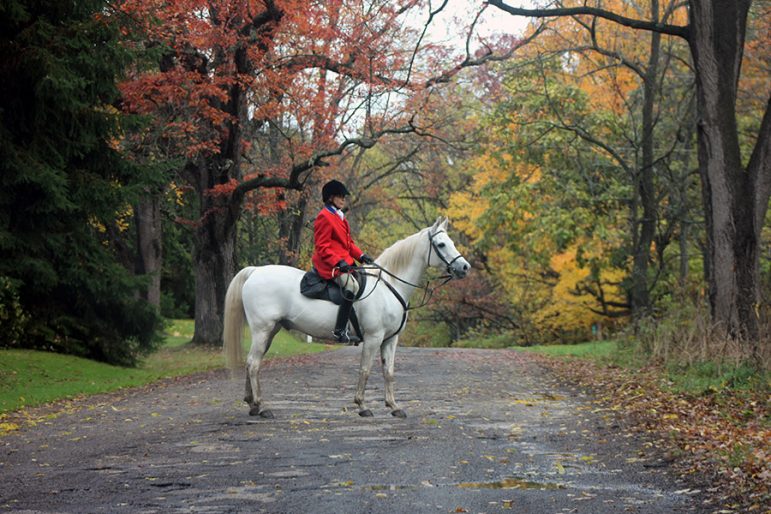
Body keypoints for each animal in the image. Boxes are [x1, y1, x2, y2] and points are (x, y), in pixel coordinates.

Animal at [223, 215, 470, 416]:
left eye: (452, 242)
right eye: (441, 244)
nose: (465, 267)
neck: (389, 284)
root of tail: (255, 271)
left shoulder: (390, 340)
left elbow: (388, 372)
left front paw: (394, 406)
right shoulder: (373, 338)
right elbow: (365, 370)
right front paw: (362, 406)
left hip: (270, 331)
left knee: (252, 363)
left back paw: (252, 405)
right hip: (262, 330)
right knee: (253, 364)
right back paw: (262, 407)